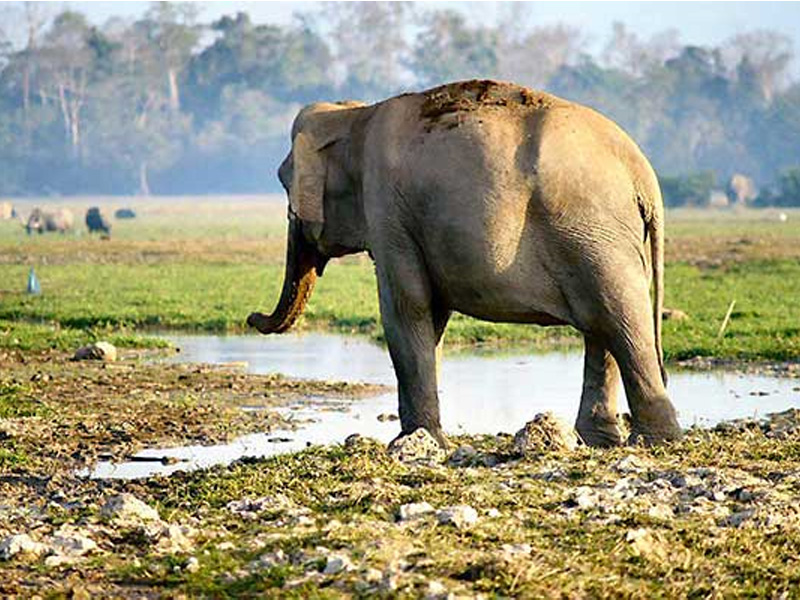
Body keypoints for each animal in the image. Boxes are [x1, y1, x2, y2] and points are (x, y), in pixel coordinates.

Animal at [248, 77, 680, 448]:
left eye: (283, 182)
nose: (252, 318)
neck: (356, 116)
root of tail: (641, 170)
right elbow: (431, 317)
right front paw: (424, 440)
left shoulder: (388, 210)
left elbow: (406, 308)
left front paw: (413, 443)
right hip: (600, 239)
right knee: (602, 325)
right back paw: (601, 441)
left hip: (593, 234)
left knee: (620, 319)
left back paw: (655, 441)